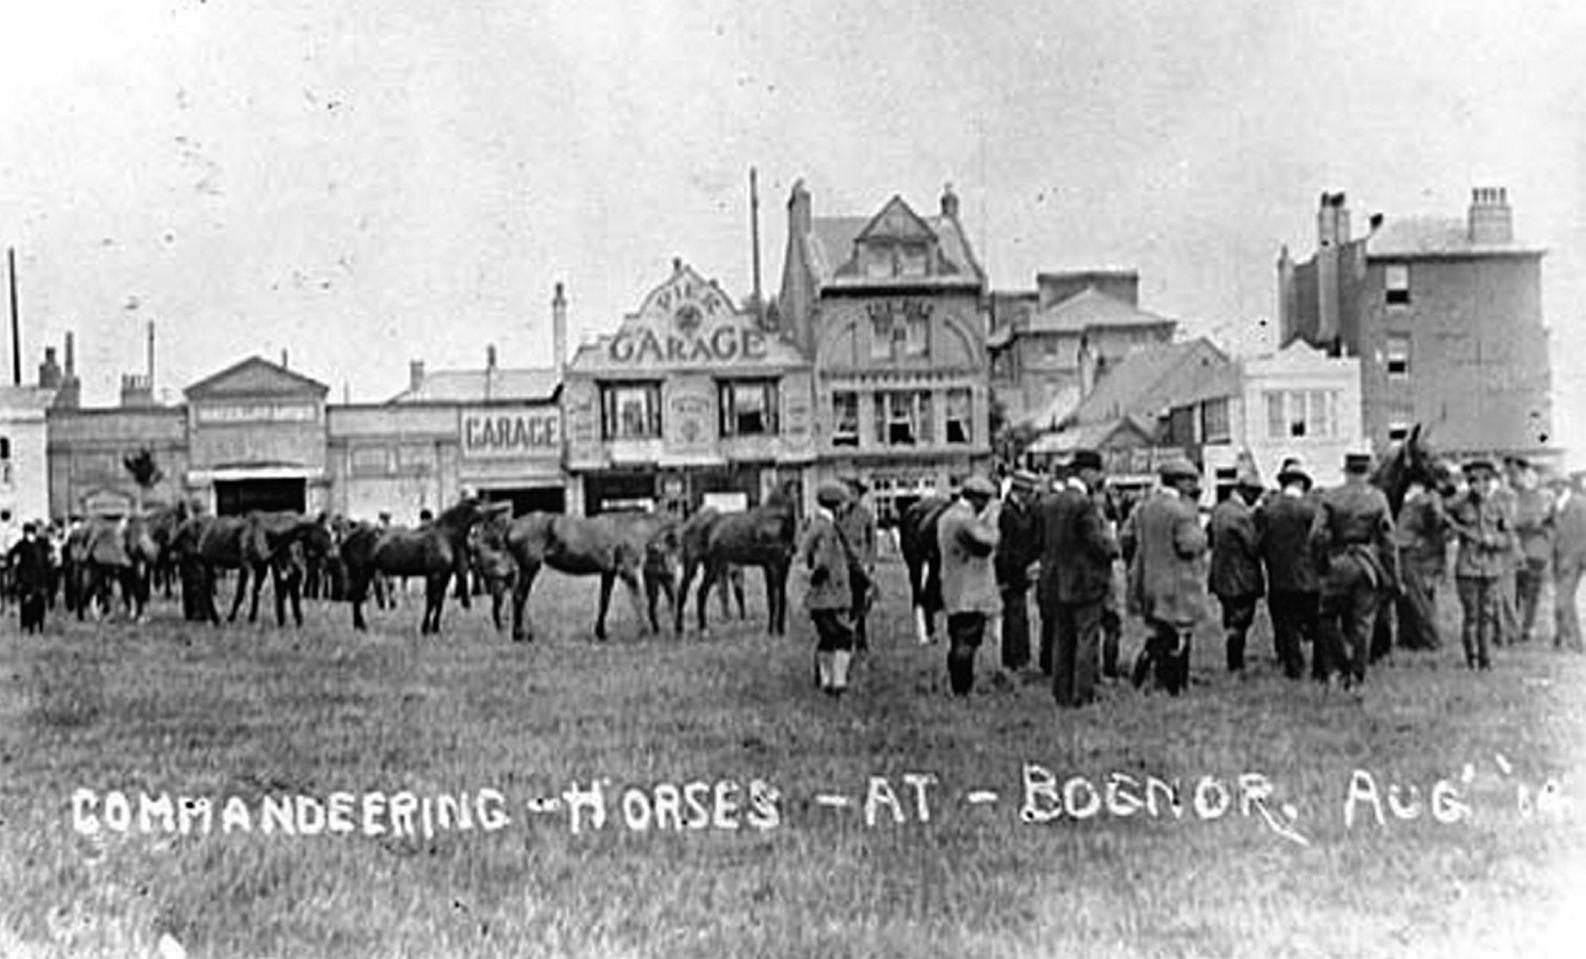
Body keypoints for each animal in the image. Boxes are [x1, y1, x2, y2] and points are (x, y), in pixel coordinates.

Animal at [339, 494, 494, 637]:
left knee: (357, 598)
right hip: (361, 572)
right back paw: (361, 627)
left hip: (365, 573)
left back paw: (360, 626)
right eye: (481, 506)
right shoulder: (435, 575)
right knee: (357, 597)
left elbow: (439, 602)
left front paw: (435, 629)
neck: (444, 535)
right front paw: (425, 629)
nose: (493, 515)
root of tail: (347, 539)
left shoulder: (445, 575)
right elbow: (431, 601)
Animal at [478, 507, 685, 643]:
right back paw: (519, 635)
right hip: (530, 566)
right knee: (519, 597)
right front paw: (644, 632)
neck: (635, 527)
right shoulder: (627, 570)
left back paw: (526, 633)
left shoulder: (608, 572)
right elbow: (638, 601)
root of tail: (511, 525)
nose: (673, 574)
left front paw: (601, 633)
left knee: (519, 598)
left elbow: (604, 602)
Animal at [672, 478, 799, 637]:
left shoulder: (784, 564)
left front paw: (780, 631)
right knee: (682, 592)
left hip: (713, 565)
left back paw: (704, 629)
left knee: (701, 593)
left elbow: (781, 597)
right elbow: (771, 597)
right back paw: (679, 630)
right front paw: (771, 631)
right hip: (691, 563)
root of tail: (688, 522)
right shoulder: (770, 564)